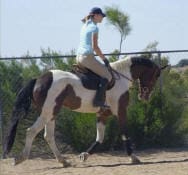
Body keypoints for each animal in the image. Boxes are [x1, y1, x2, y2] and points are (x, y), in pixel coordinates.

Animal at [3, 55, 166, 166]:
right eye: (155, 76)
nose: (144, 96)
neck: (121, 76)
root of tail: (39, 79)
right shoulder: (121, 111)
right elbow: (125, 134)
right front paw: (133, 157)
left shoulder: (103, 114)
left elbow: (100, 138)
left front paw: (84, 155)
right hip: (47, 113)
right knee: (31, 131)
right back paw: (20, 158)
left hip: (51, 113)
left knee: (48, 136)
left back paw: (63, 161)